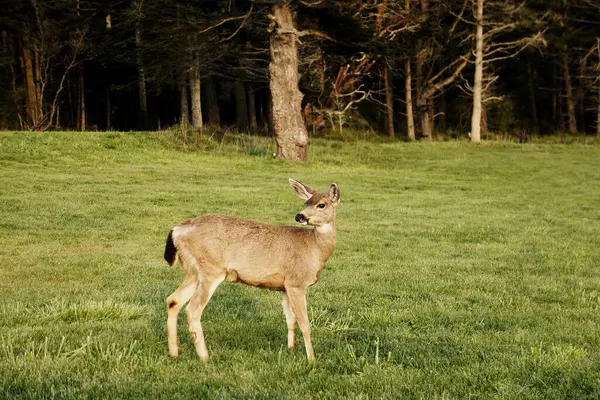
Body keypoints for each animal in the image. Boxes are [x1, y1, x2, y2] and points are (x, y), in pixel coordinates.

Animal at [164, 180, 340, 360]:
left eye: (321, 204)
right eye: (306, 203)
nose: (300, 216)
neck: (314, 248)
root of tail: (176, 230)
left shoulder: (285, 286)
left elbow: (290, 320)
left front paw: (290, 349)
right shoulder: (296, 282)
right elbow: (305, 324)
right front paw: (311, 359)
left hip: (193, 271)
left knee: (173, 300)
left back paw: (174, 352)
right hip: (211, 269)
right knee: (193, 309)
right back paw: (205, 357)